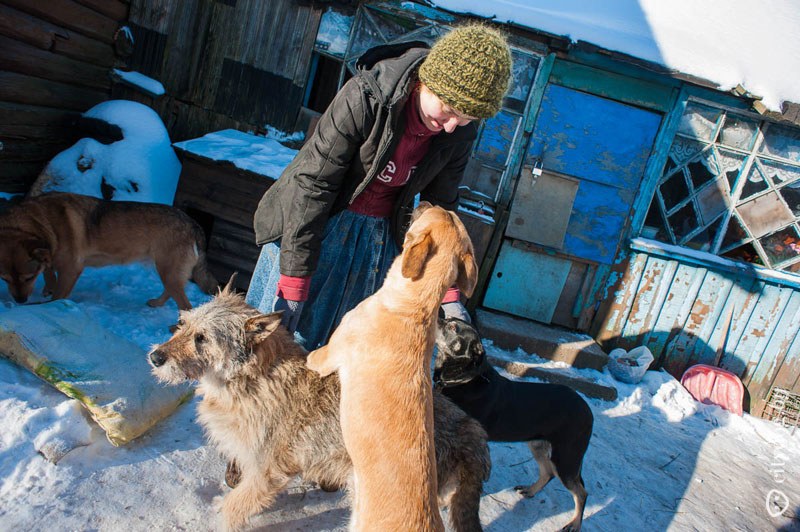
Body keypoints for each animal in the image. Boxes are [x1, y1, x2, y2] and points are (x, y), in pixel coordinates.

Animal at [0, 192, 217, 310]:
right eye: (4, 279)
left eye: (28, 278)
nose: (19, 301)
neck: (41, 223)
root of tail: (193, 224)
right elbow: (48, 271)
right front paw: (48, 286)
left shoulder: (71, 269)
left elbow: (58, 296)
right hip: (167, 271)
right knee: (172, 292)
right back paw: (156, 303)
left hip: (168, 270)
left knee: (185, 305)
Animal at [432, 318, 592, 528]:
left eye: (452, 327)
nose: (437, 315)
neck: (463, 378)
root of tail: (588, 411)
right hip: (538, 445)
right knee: (547, 472)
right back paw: (530, 490)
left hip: (566, 458)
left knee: (581, 492)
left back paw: (574, 524)